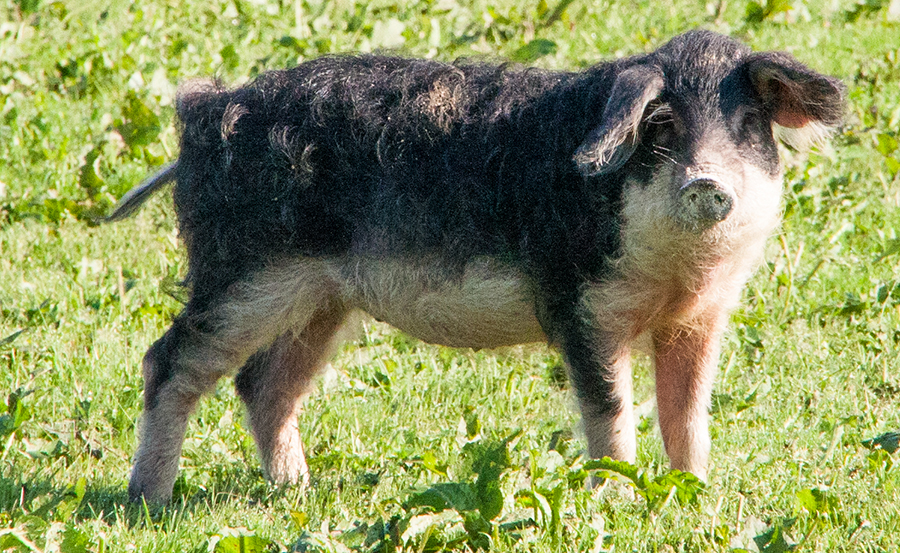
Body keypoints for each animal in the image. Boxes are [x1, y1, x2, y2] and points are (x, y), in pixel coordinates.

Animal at [109, 29, 844, 504]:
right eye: (660, 124)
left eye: (747, 121)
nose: (705, 183)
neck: (678, 277)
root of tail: (202, 115)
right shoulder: (580, 304)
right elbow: (610, 410)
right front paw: (618, 501)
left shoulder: (702, 316)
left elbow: (688, 413)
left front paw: (695, 496)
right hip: (243, 274)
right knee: (168, 361)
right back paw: (149, 501)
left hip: (320, 298)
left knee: (264, 384)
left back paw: (299, 494)